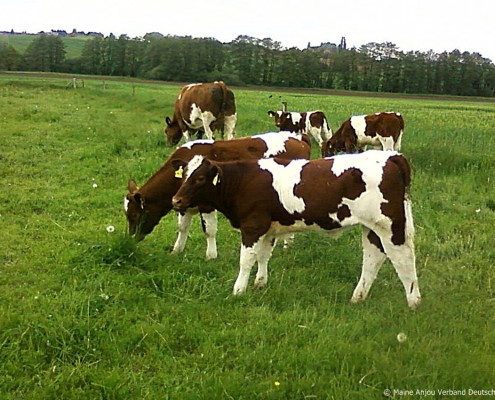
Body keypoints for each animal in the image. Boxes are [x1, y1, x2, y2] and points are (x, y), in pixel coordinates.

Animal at [124, 132, 310, 260]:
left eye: (134, 215)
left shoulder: (206, 205)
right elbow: (182, 227)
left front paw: (211, 255)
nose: (131, 239)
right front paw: (176, 250)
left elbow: (209, 230)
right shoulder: (182, 202)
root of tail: (297, 137)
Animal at [171, 150, 422, 310]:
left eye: (200, 178)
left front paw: (238, 290)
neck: (243, 180)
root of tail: (391, 156)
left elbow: (246, 259)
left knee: (403, 258)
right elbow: (264, 256)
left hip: (390, 226)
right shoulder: (269, 228)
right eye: (184, 176)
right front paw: (260, 283)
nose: (176, 200)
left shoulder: (252, 226)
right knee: (373, 259)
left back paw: (414, 302)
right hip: (371, 228)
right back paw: (357, 298)